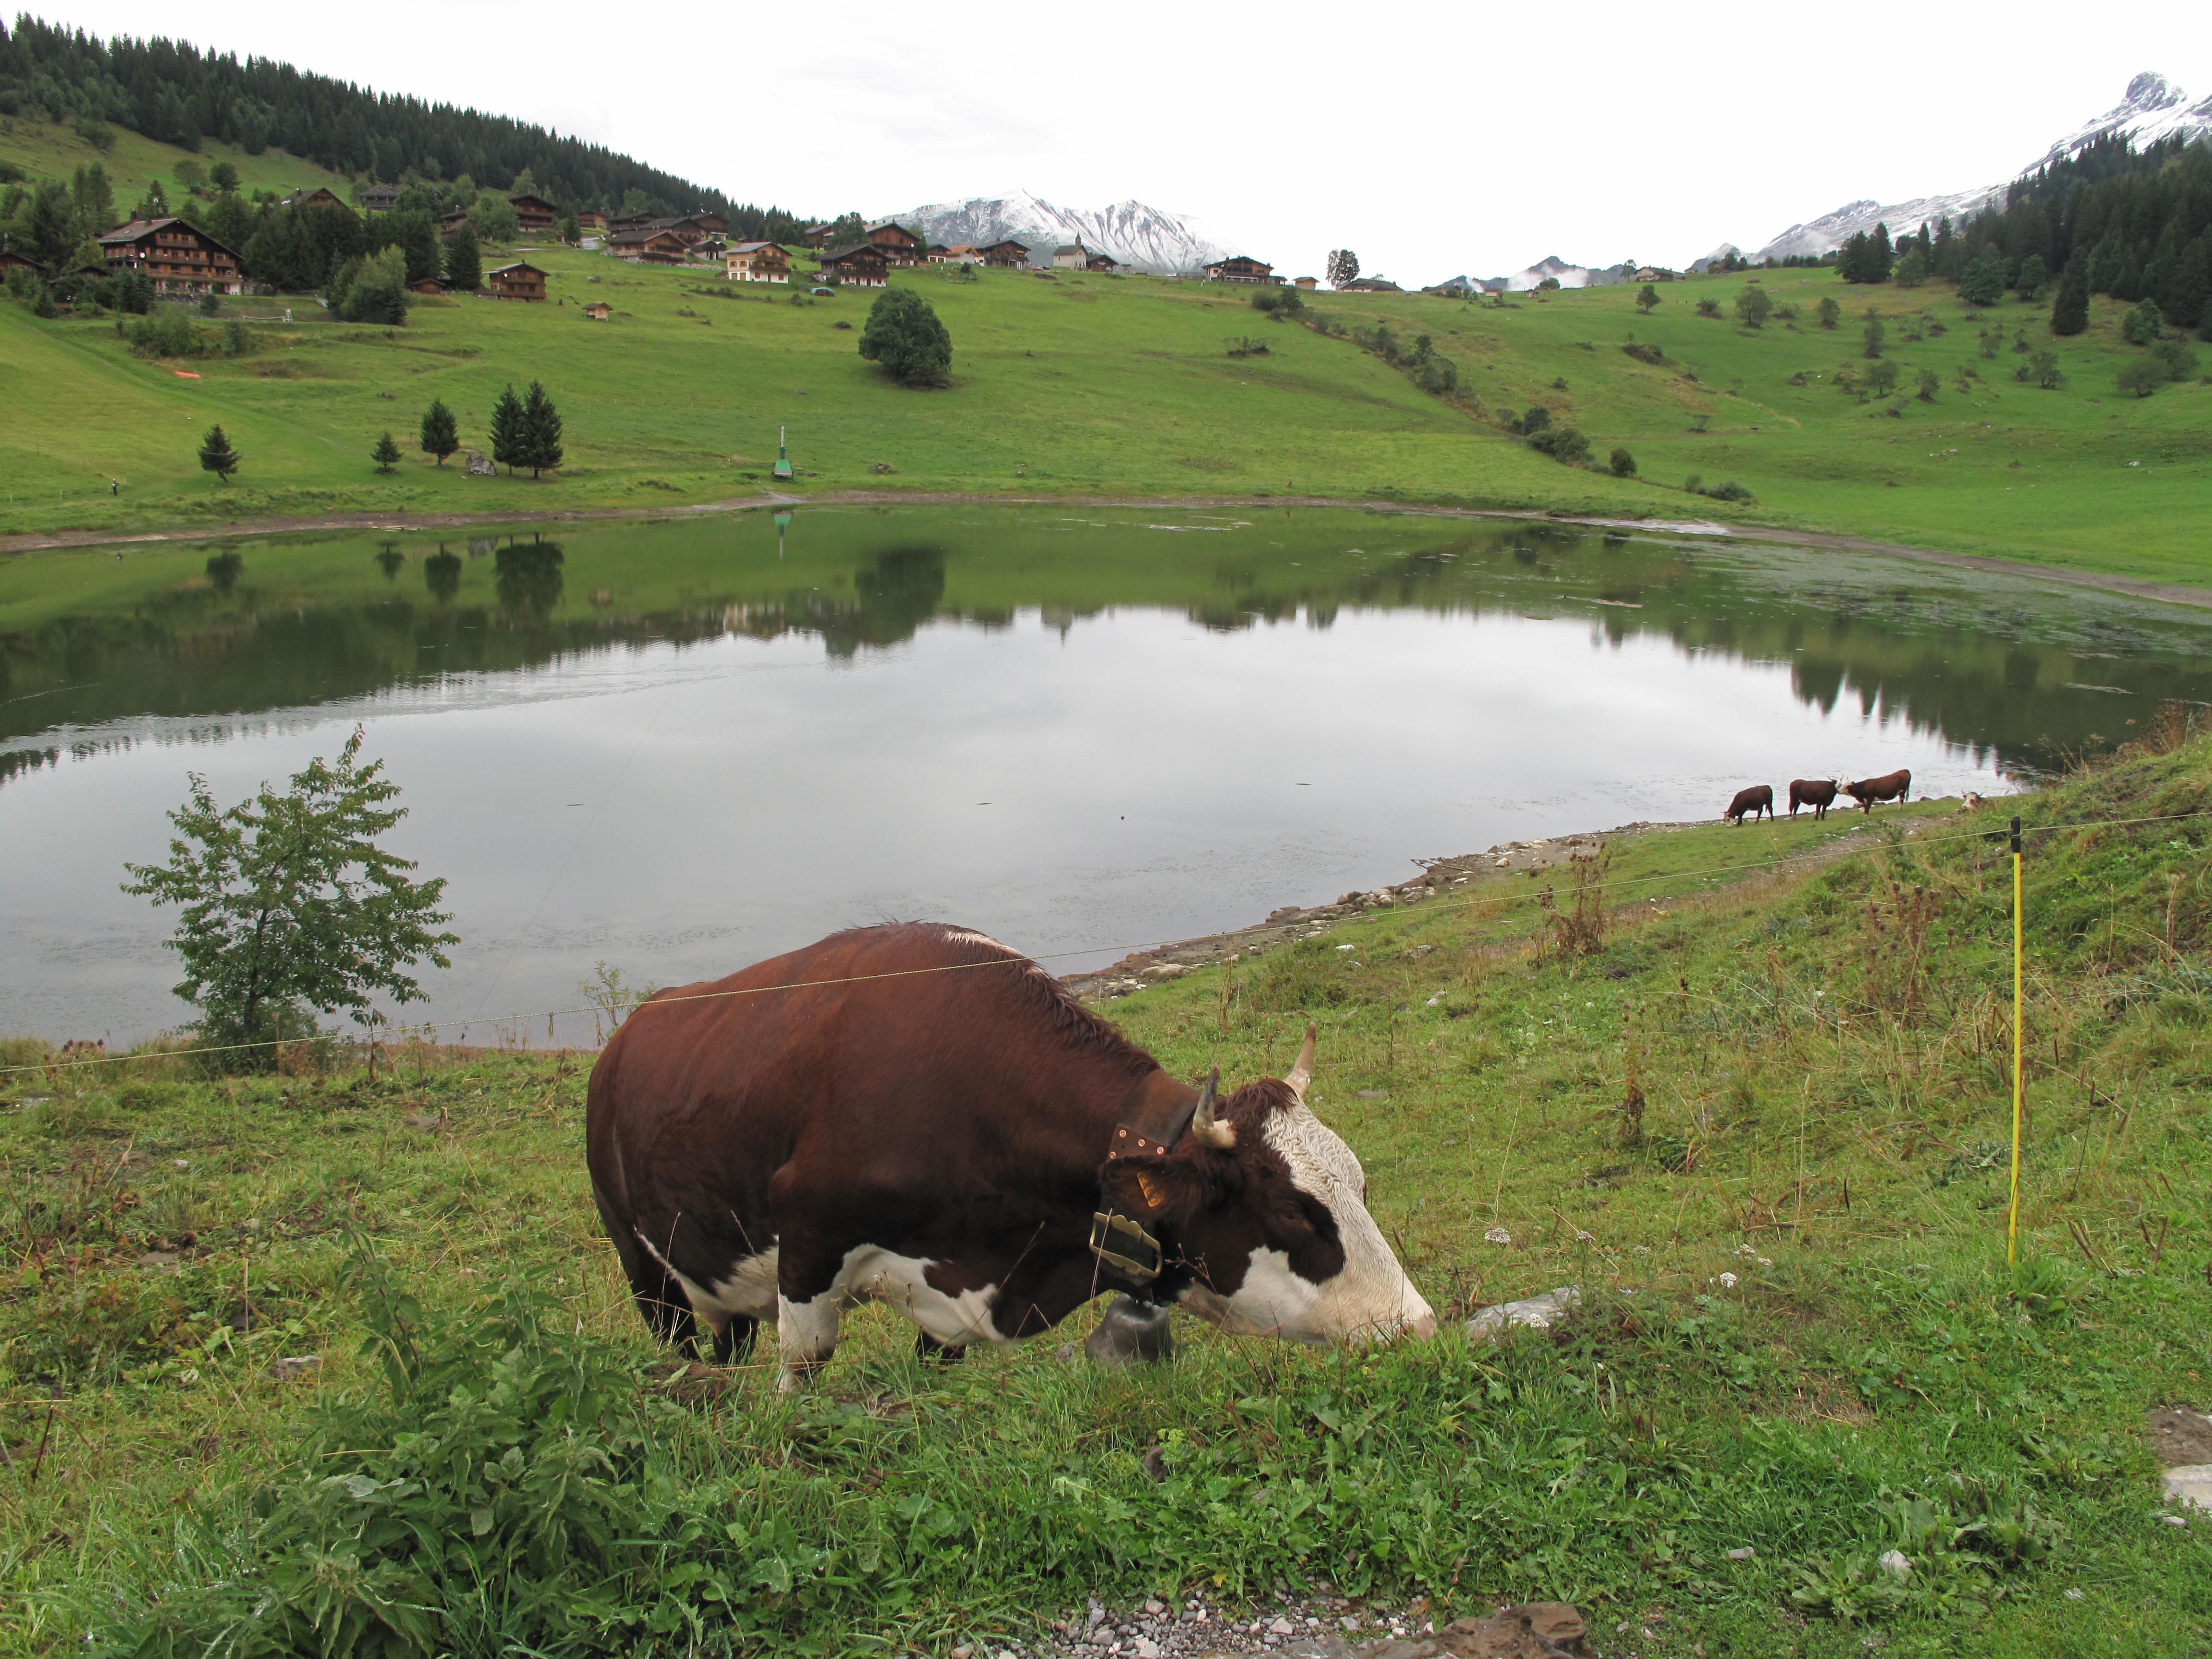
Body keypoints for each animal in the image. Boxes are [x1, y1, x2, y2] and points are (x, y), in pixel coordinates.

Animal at [579, 924, 1433, 1389]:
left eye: (1361, 1184)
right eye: (1292, 1210)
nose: (1417, 1328)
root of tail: (626, 1034)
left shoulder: (954, 1296)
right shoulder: (810, 1245)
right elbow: (804, 1374)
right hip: (641, 1263)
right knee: (680, 1346)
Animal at [1840, 769, 1911, 814]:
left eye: (1846, 787)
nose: (1838, 791)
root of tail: (1905, 770)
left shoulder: (1870, 798)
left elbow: (1867, 808)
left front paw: (1866, 815)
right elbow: (1866, 807)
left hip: (1902, 791)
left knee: (1901, 800)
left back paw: (1900, 809)